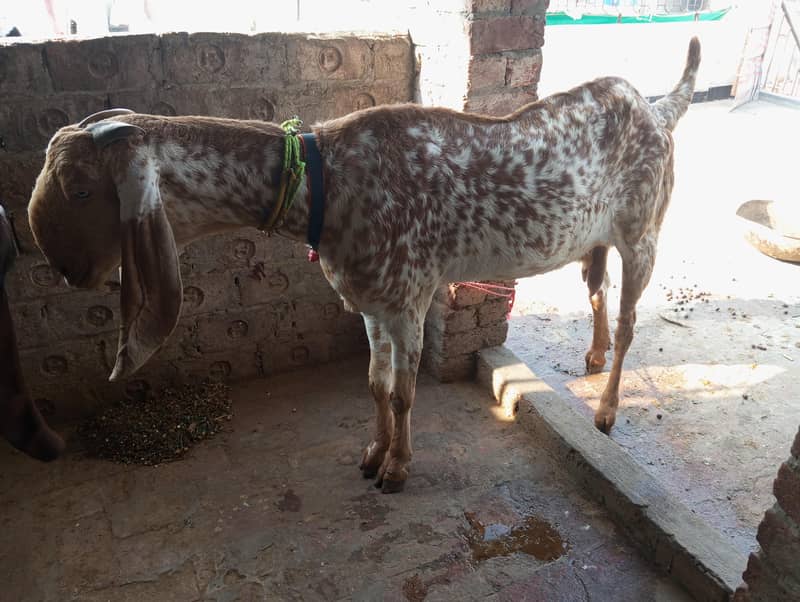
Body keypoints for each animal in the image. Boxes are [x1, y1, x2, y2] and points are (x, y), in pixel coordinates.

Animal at [28, 38, 700, 491]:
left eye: (81, 189)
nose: (65, 267)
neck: (325, 183)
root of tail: (658, 107)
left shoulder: (408, 299)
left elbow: (403, 391)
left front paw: (398, 468)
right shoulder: (370, 304)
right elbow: (375, 385)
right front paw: (373, 454)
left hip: (644, 231)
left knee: (632, 320)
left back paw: (607, 410)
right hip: (596, 237)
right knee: (596, 288)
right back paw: (592, 355)